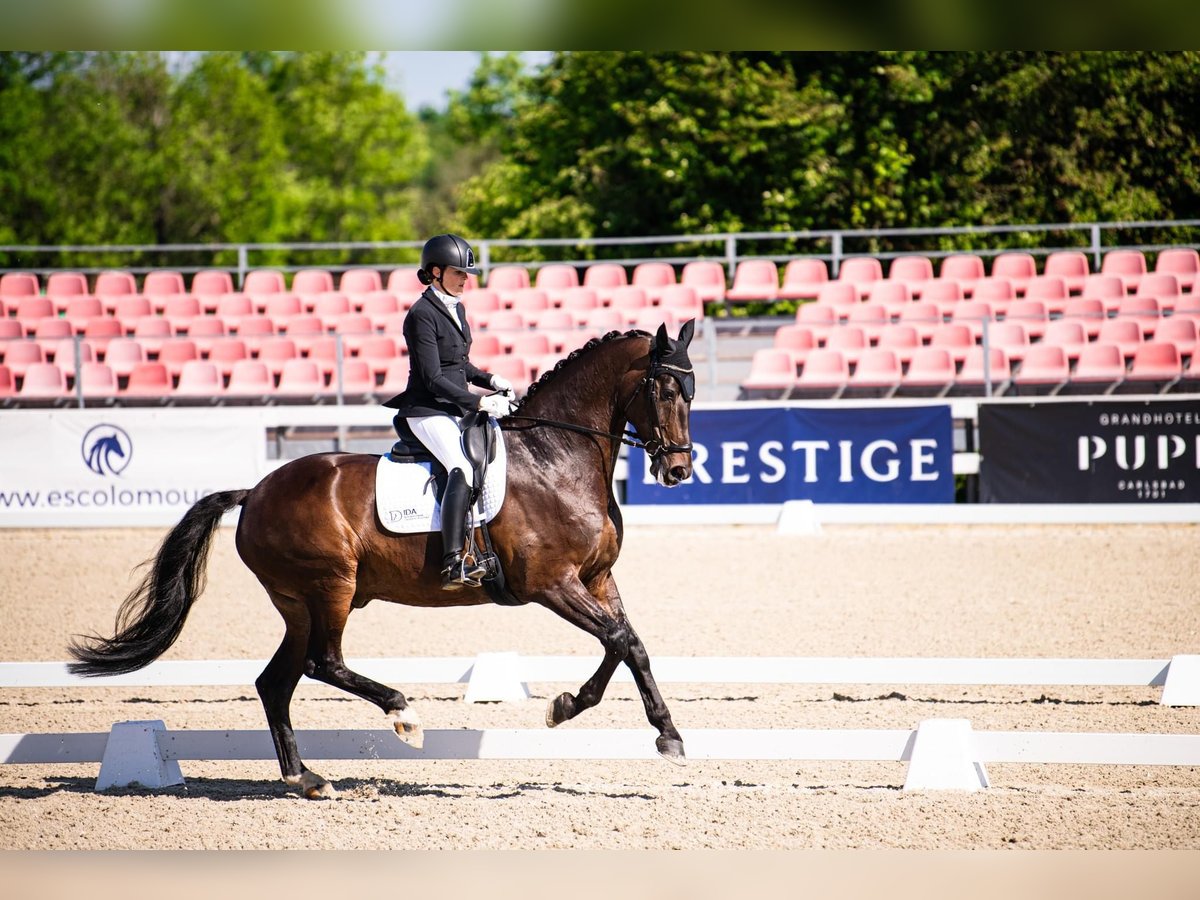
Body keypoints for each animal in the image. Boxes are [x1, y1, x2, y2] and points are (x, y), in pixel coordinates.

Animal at [68, 321, 696, 801]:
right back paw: (403, 715)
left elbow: (628, 643)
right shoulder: (551, 583)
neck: (555, 457)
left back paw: (306, 779)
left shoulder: (596, 577)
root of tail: (255, 492)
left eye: (691, 394)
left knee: (276, 682)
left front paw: (627, 722)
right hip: (332, 587)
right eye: (665, 391)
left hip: (299, 603)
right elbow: (620, 639)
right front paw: (607, 718)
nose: (678, 470)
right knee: (323, 663)